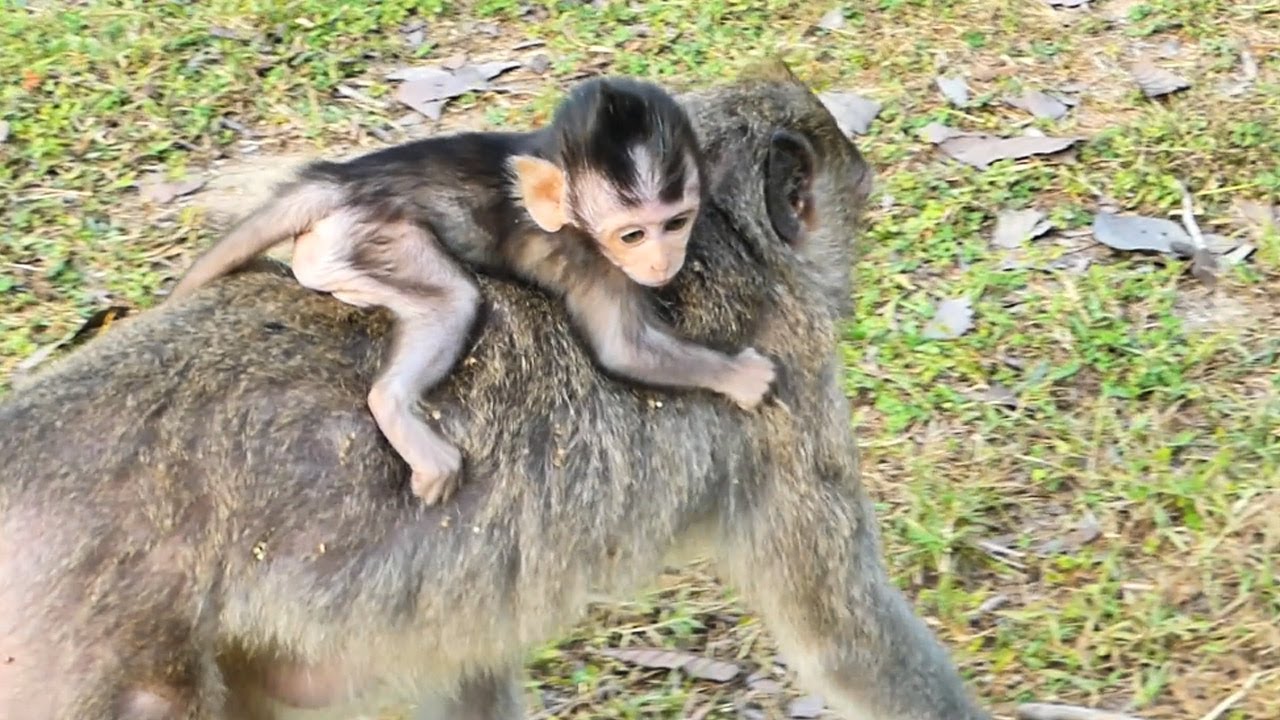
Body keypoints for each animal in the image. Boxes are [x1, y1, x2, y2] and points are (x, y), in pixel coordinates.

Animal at [164, 75, 778, 505]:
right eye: (632, 235)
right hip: (372, 234)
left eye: (674, 223)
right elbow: (623, 348)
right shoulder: (590, 263)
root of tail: (342, 179)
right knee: (454, 301)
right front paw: (742, 377)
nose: (661, 260)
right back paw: (393, 404)